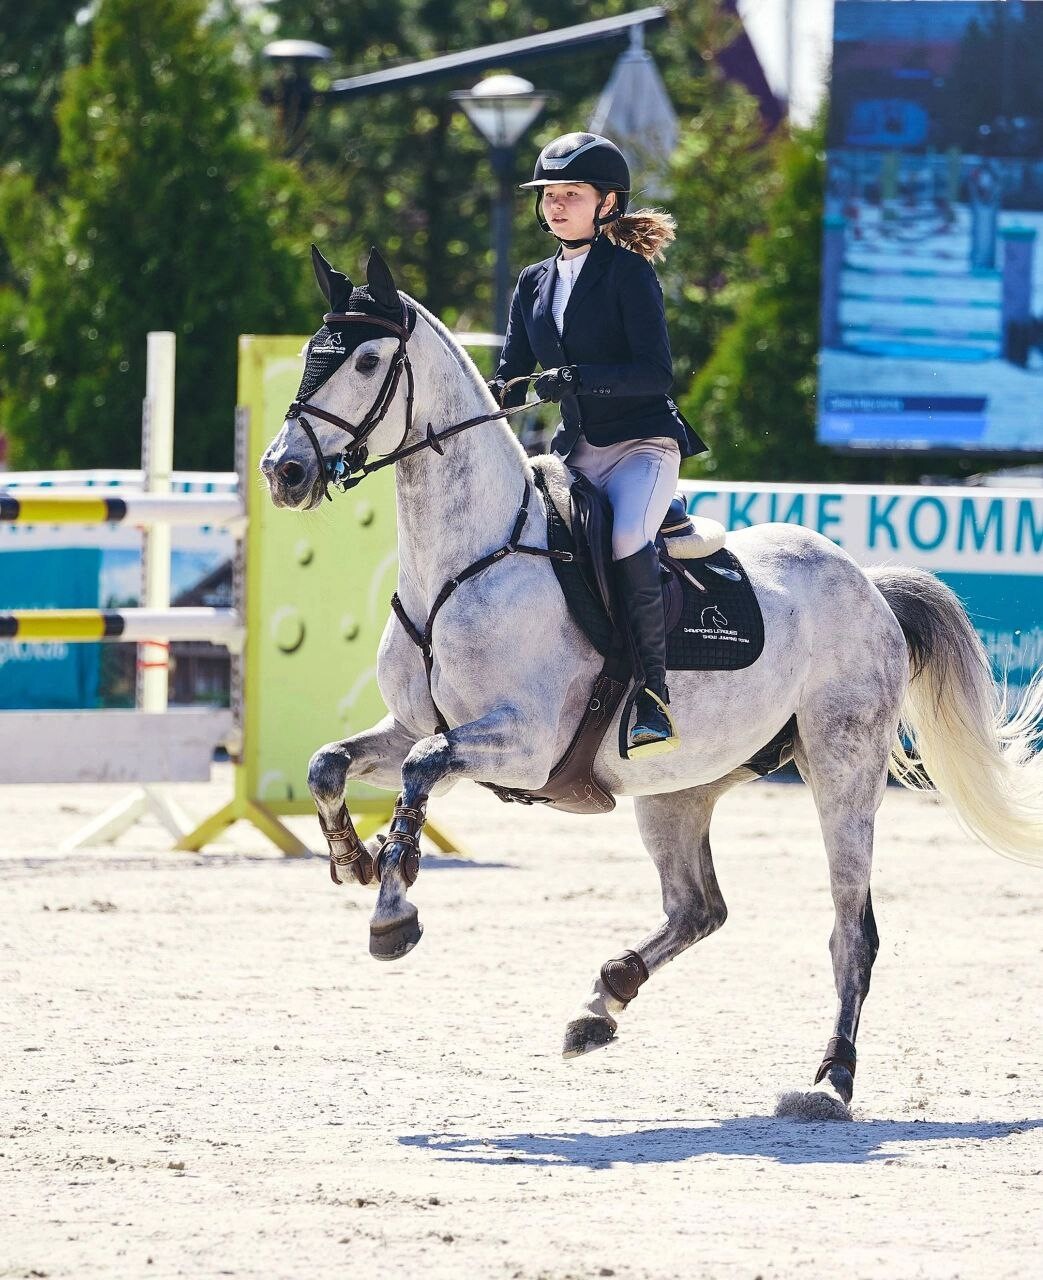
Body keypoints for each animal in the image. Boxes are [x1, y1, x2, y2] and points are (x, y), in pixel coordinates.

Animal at [258, 244, 1043, 1116]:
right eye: (308, 354)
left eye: (365, 362)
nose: (284, 471)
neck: (463, 562)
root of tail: (866, 583)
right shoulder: (415, 726)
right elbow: (329, 764)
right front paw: (352, 859)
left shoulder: (522, 743)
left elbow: (421, 771)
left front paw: (392, 911)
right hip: (679, 790)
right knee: (698, 907)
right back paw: (602, 1001)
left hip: (842, 766)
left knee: (850, 928)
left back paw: (829, 1078)